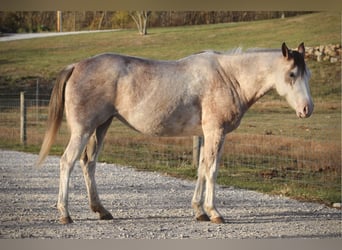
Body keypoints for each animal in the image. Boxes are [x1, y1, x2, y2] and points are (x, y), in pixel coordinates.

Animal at [36, 42, 312, 224]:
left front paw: (199, 211)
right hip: (82, 130)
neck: (229, 77)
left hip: (101, 127)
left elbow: (202, 168)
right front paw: (214, 212)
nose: (307, 109)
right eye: (292, 74)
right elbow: (212, 170)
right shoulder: (215, 132)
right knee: (67, 162)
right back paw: (65, 214)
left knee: (89, 163)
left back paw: (101, 210)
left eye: (307, 74)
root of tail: (76, 65)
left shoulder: (207, 134)